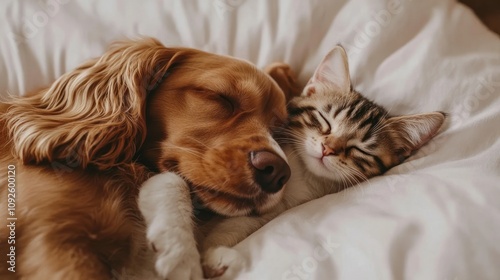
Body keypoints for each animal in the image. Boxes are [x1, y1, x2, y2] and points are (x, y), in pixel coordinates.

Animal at [199, 45, 446, 278]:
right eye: (325, 121)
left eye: (360, 148)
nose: (328, 149)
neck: (302, 176)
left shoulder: (274, 209)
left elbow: (240, 223)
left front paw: (213, 258)